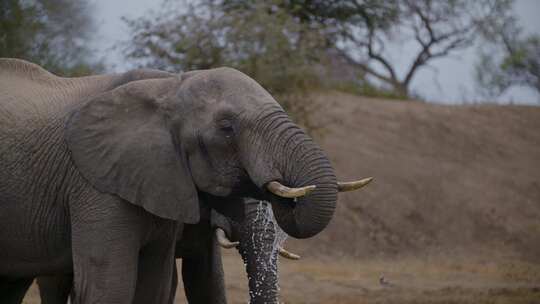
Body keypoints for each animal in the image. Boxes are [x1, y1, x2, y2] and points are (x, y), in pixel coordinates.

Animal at [0, 58, 372, 302]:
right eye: (226, 128)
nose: (282, 188)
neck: (170, 85)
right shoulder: (93, 183)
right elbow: (111, 283)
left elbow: (178, 281)